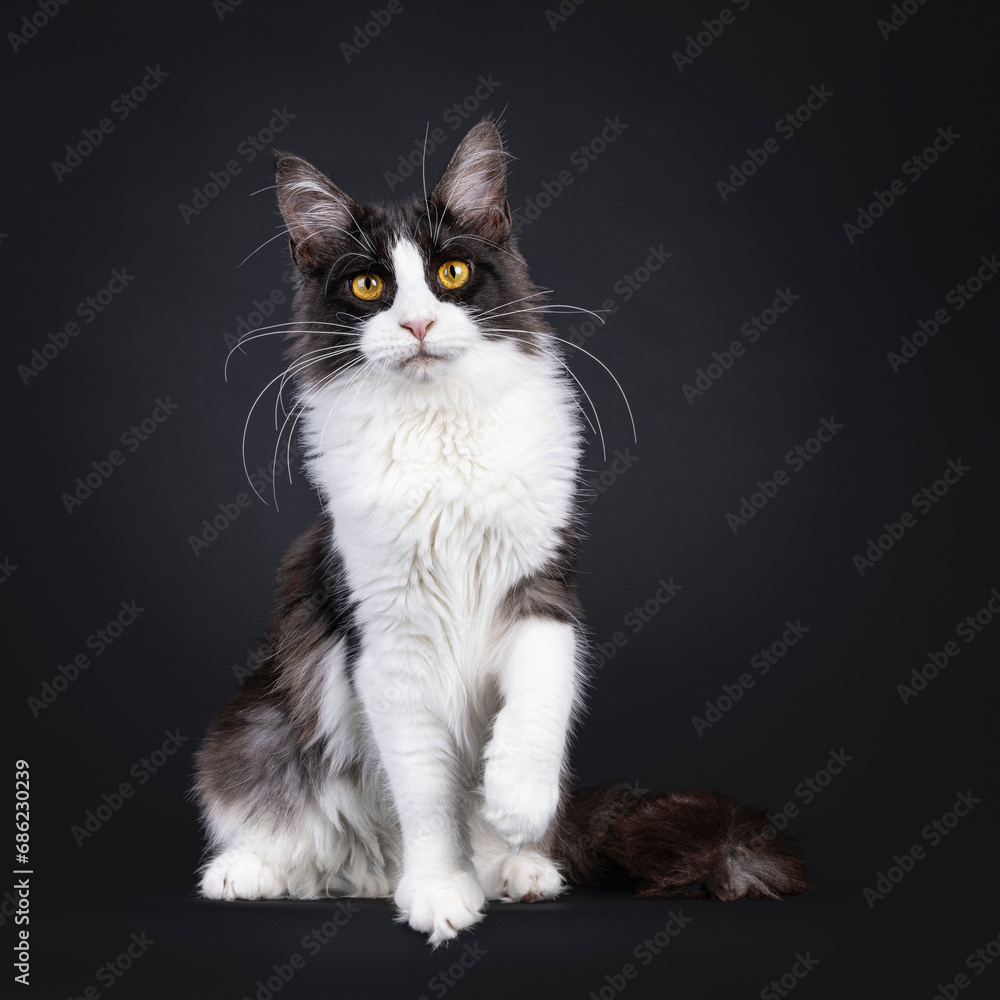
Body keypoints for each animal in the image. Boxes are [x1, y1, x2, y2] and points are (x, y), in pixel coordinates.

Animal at [191, 119, 808, 944]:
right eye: (368, 287)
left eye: (451, 273)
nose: (418, 323)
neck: (440, 432)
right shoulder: (388, 638)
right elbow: (426, 787)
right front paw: (438, 888)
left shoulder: (541, 588)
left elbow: (541, 694)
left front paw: (515, 795)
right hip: (258, 728)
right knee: (293, 826)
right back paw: (254, 871)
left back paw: (520, 865)